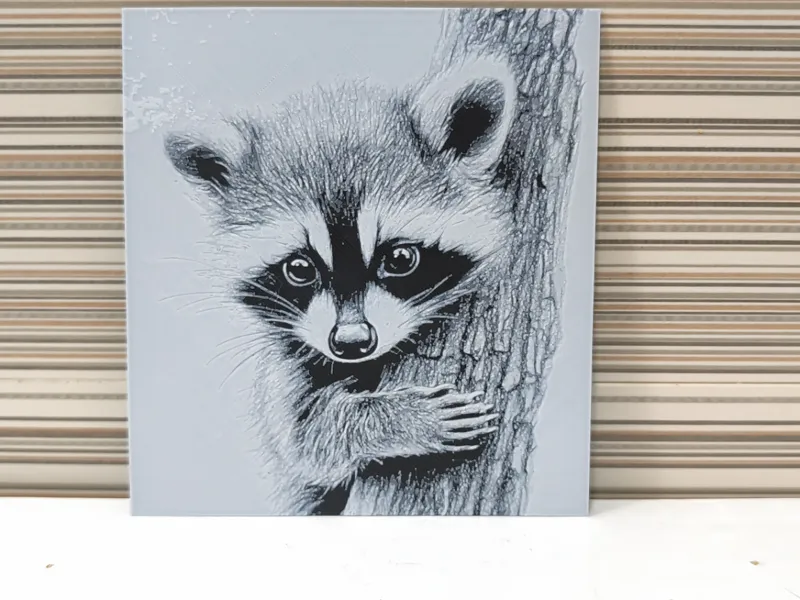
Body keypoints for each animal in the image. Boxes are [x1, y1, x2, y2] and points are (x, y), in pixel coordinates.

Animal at [164, 57, 518, 514]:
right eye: (299, 268)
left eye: (400, 260)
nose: (351, 342)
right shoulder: (287, 367)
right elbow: (304, 441)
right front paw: (399, 419)